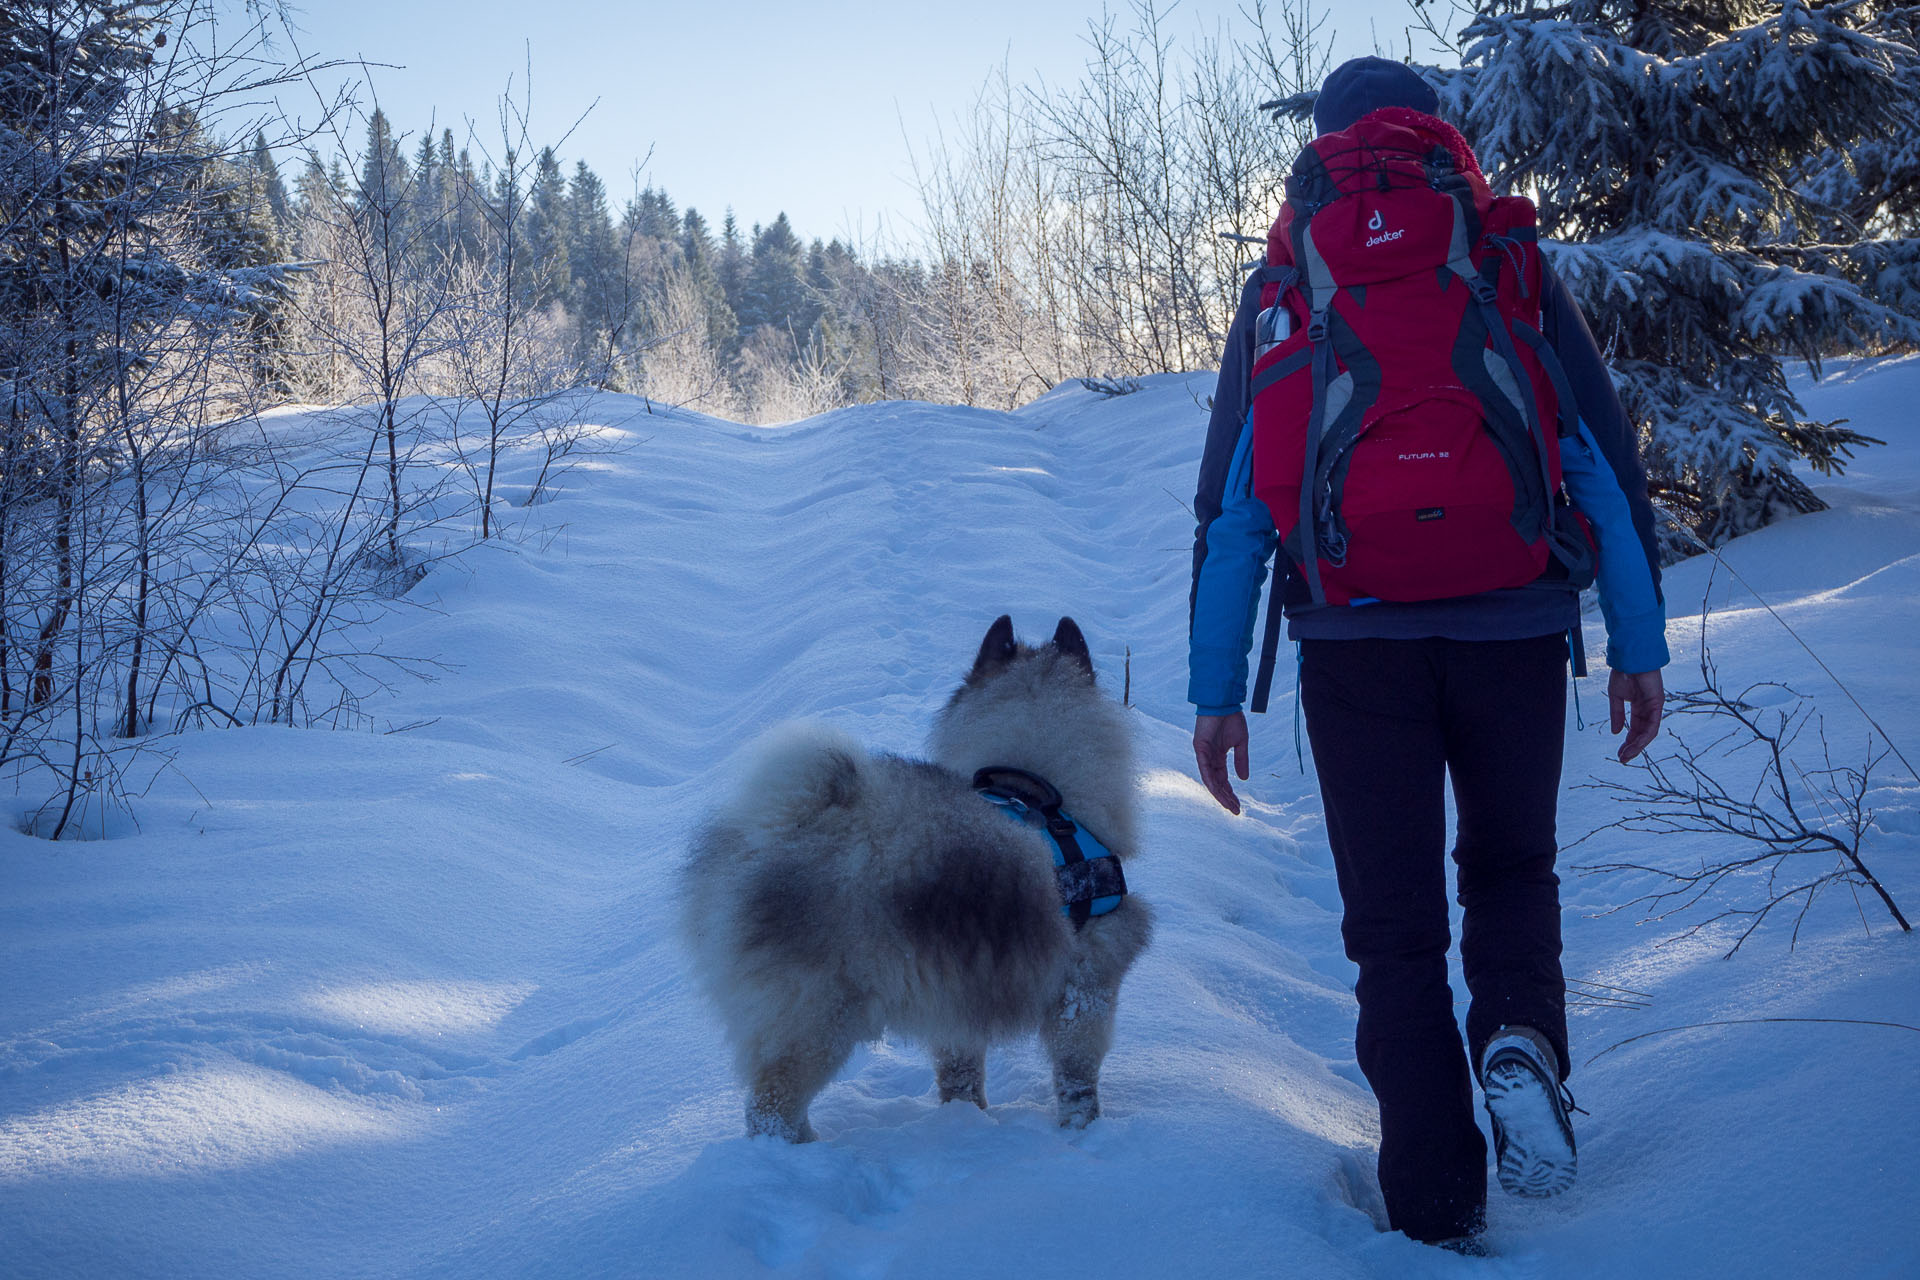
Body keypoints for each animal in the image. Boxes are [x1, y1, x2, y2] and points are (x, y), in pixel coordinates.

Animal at [683, 617, 1144, 1143]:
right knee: (770, 1110)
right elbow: (1077, 1077)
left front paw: (966, 1118)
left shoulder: (957, 984)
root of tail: (774, 832)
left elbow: (960, 1071)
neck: (1030, 783)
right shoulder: (1086, 985)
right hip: (818, 1019)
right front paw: (1081, 1130)